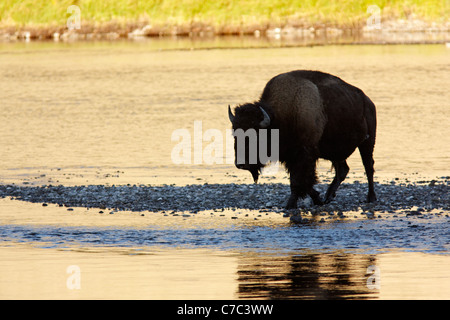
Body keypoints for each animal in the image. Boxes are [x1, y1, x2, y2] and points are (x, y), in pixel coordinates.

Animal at [229, 71, 376, 209]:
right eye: (234, 135)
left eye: (256, 136)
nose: (241, 164)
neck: (282, 116)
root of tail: (368, 102)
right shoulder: (291, 157)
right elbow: (303, 182)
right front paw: (317, 199)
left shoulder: (303, 156)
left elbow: (299, 181)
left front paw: (290, 205)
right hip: (336, 152)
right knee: (343, 170)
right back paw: (328, 196)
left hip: (367, 143)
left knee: (368, 167)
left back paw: (371, 197)